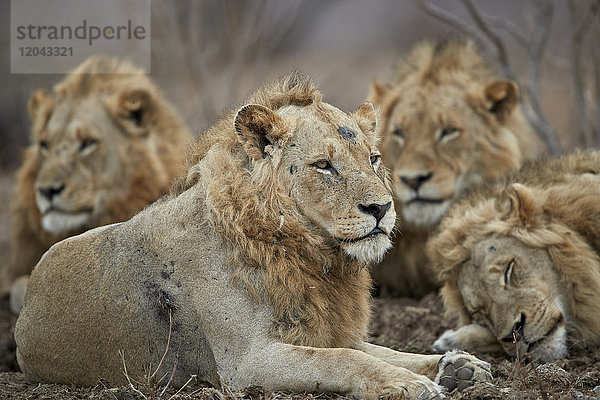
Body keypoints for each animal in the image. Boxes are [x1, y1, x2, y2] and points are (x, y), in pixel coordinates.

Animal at [15, 74, 492, 400]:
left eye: (373, 159)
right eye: (323, 166)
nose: (381, 208)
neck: (312, 258)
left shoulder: (327, 330)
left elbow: (383, 350)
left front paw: (458, 367)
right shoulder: (246, 361)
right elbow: (346, 360)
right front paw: (407, 384)